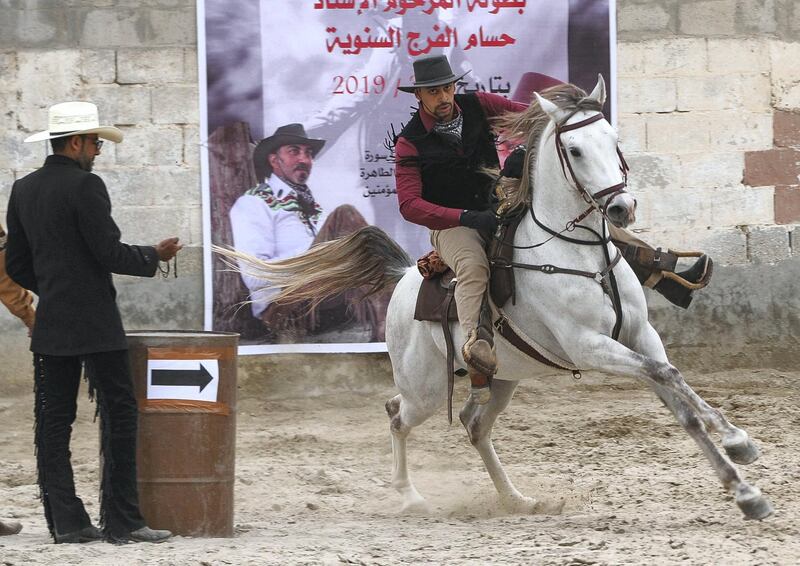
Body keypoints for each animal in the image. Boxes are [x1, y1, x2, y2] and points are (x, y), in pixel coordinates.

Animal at [216, 77, 772, 520]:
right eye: (574, 151)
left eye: (613, 139)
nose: (621, 208)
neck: (579, 254)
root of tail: (404, 278)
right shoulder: (590, 347)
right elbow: (668, 377)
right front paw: (739, 450)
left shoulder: (640, 337)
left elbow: (679, 393)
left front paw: (743, 476)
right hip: (423, 390)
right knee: (396, 413)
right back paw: (410, 497)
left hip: (501, 378)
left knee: (474, 425)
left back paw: (515, 499)